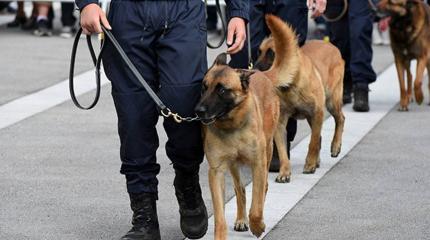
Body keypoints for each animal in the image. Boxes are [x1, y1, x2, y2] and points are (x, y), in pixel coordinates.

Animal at [195, 51, 288, 239]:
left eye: (222, 90)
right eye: (204, 87)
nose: (198, 111)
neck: (232, 126)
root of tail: (262, 74)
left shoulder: (258, 164)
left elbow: (256, 206)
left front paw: (257, 225)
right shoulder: (216, 172)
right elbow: (220, 217)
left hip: (268, 150)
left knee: (263, 188)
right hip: (233, 165)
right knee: (240, 189)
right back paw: (241, 219)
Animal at [255, 15, 346, 179]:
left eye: (272, 53)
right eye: (259, 52)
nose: (253, 70)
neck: (291, 84)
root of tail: (330, 45)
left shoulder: (317, 113)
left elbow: (313, 142)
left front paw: (309, 165)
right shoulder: (280, 123)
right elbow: (283, 151)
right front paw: (284, 172)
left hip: (331, 102)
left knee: (340, 119)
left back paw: (335, 146)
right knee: (320, 135)